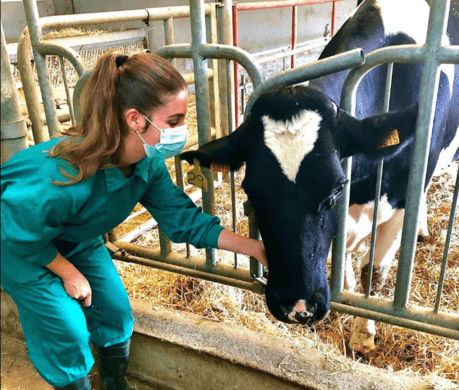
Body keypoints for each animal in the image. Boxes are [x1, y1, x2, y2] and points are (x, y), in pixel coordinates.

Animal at [181, 0, 459, 352]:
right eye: (251, 191)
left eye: (337, 188)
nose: (296, 306)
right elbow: (342, 265)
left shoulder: (402, 200)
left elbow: (374, 271)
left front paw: (362, 335)